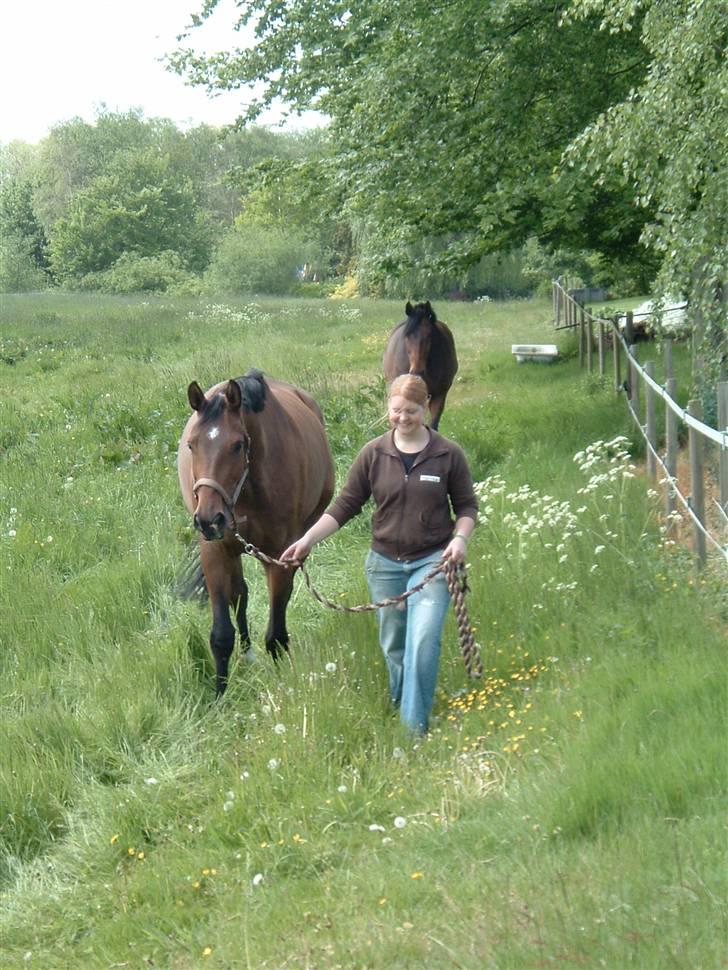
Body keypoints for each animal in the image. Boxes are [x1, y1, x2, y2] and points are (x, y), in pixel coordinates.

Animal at [178, 366, 334, 692]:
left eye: (238, 445)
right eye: (191, 445)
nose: (208, 519)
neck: (246, 491)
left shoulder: (280, 555)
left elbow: (276, 633)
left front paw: (285, 684)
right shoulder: (215, 551)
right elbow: (221, 635)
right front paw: (220, 695)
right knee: (240, 593)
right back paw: (247, 654)